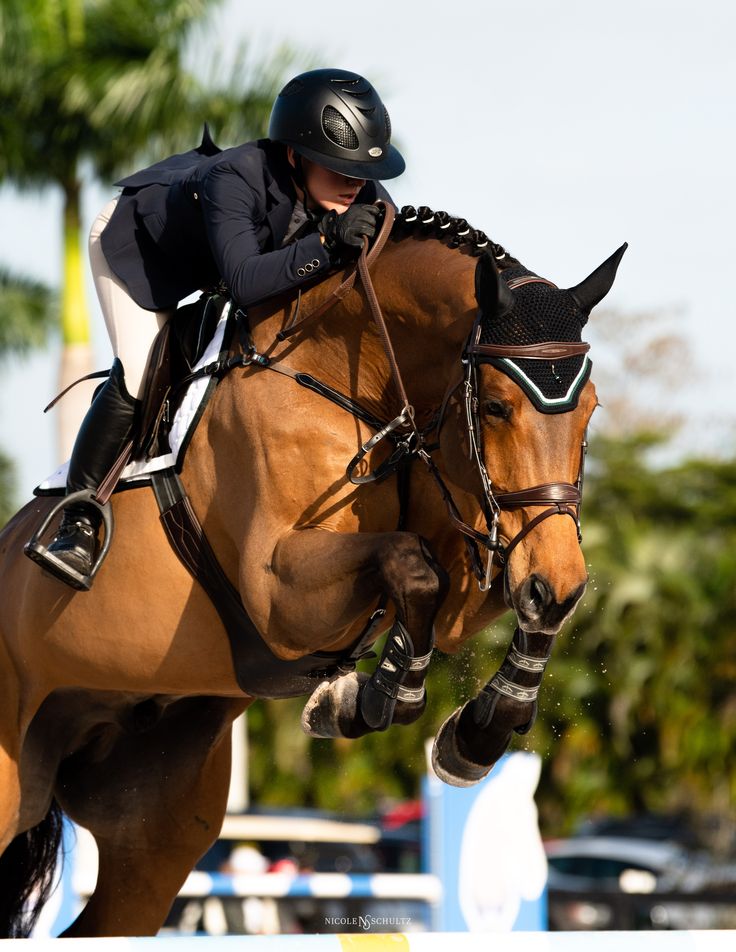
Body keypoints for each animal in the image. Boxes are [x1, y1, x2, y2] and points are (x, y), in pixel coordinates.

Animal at [0, 201, 628, 936]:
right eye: (497, 406)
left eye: (590, 410)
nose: (551, 576)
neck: (351, 382)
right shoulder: (278, 592)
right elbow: (412, 567)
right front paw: (374, 699)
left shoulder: (482, 542)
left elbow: (485, 594)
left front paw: (470, 732)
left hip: (150, 819)